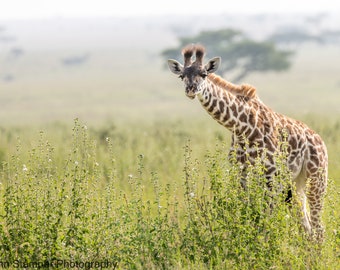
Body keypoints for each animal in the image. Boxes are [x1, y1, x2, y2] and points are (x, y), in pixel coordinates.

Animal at [169, 43, 328, 240]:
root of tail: (320, 141)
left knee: (318, 228)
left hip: (316, 178)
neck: (241, 128)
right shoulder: (241, 175)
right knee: (307, 227)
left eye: (204, 74)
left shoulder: (271, 177)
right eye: (182, 76)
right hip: (295, 184)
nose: (191, 89)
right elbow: (248, 217)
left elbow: (266, 221)